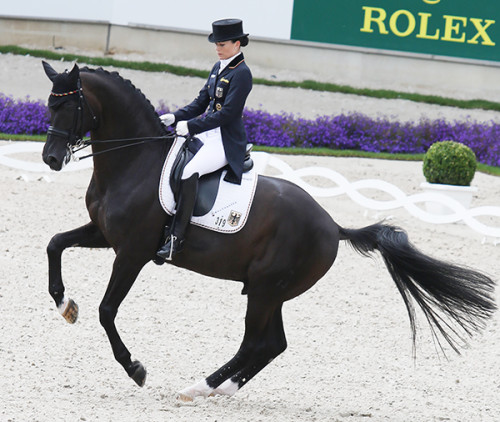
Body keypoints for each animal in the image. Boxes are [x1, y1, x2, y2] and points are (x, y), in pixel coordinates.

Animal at [41, 61, 494, 400]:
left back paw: (198, 387)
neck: (134, 161)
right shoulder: (103, 235)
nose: (50, 159)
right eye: (48, 106)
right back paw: (222, 389)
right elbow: (54, 244)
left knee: (255, 343)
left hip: (265, 288)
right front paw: (65, 305)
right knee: (272, 343)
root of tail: (332, 226)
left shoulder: (132, 252)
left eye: (70, 107)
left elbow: (107, 310)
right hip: (270, 290)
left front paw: (135, 367)